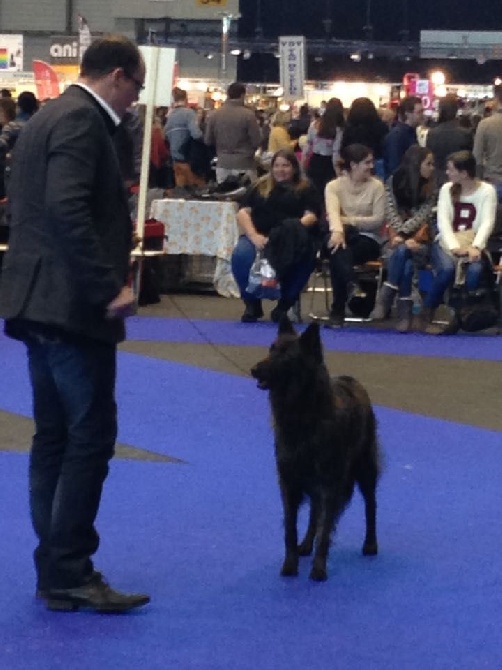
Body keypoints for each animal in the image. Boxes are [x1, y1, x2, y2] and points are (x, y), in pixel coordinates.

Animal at [251, 320, 380, 584]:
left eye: (286, 356)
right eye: (271, 349)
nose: (254, 370)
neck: (303, 415)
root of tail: (352, 380)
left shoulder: (330, 482)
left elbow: (325, 530)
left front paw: (319, 570)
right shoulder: (290, 481)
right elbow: (291, 528)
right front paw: (290, 565)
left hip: (364, 469)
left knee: (370, 505)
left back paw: (370, 544)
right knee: (314, 513)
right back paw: (305, 546)